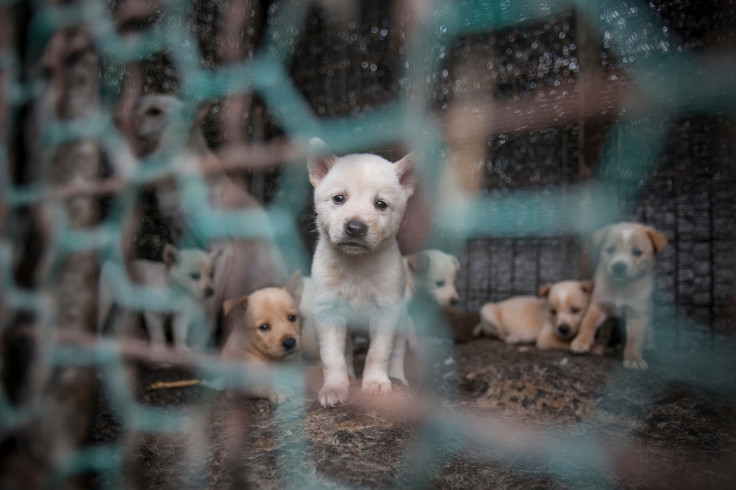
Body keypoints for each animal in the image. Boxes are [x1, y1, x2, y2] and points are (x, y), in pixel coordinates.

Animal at [308, 137, 416, 406]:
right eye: (339, 198)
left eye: (381, 204)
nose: (355, 227)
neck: (356, 265)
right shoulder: (329, 312)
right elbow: (332, 356)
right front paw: (335, 387)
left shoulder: (386, 311)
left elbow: (379, 353)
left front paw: (376, 383)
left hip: (402, 318)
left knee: (397, 352)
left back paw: (398, 378)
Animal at [572, 222, 668, 368]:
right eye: (610, 249)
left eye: (637, 252)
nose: (618, 266)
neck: (620, 287)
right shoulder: (599, 304)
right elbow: (588, 322)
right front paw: (581, 342)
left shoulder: (637, 313)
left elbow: (635, 339)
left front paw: (634, 359)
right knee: (607, 326)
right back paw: (602, 340)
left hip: (649, 309)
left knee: (649, 328)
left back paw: (648, 344)